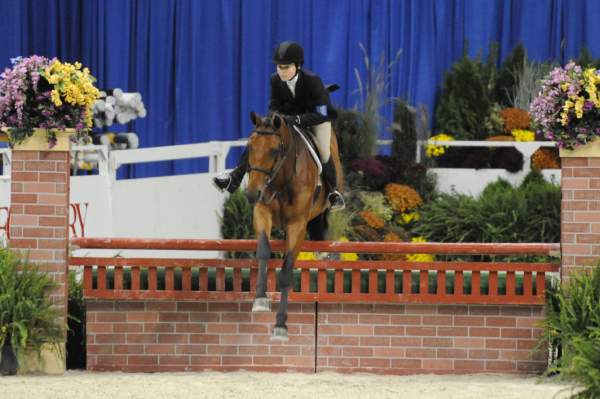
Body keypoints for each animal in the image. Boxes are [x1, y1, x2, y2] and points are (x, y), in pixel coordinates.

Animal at [247, 111, 342, 340]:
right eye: (250, 147)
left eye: (274, 150)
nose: (252, 194)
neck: (282, 177)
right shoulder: (262, 211)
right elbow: (264, 251)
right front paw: (260, 299)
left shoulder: (297, 225)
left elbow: (287, 270)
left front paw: (281, 325)